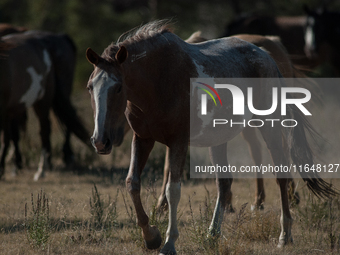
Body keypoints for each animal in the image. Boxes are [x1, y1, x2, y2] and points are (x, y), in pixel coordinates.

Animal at [0, 30, 91, 180]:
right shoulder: (11, 110)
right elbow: (11, 137)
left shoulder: (5, 111)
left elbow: (6, 139)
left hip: (45, 101)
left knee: (46, 130)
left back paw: (42, 169)